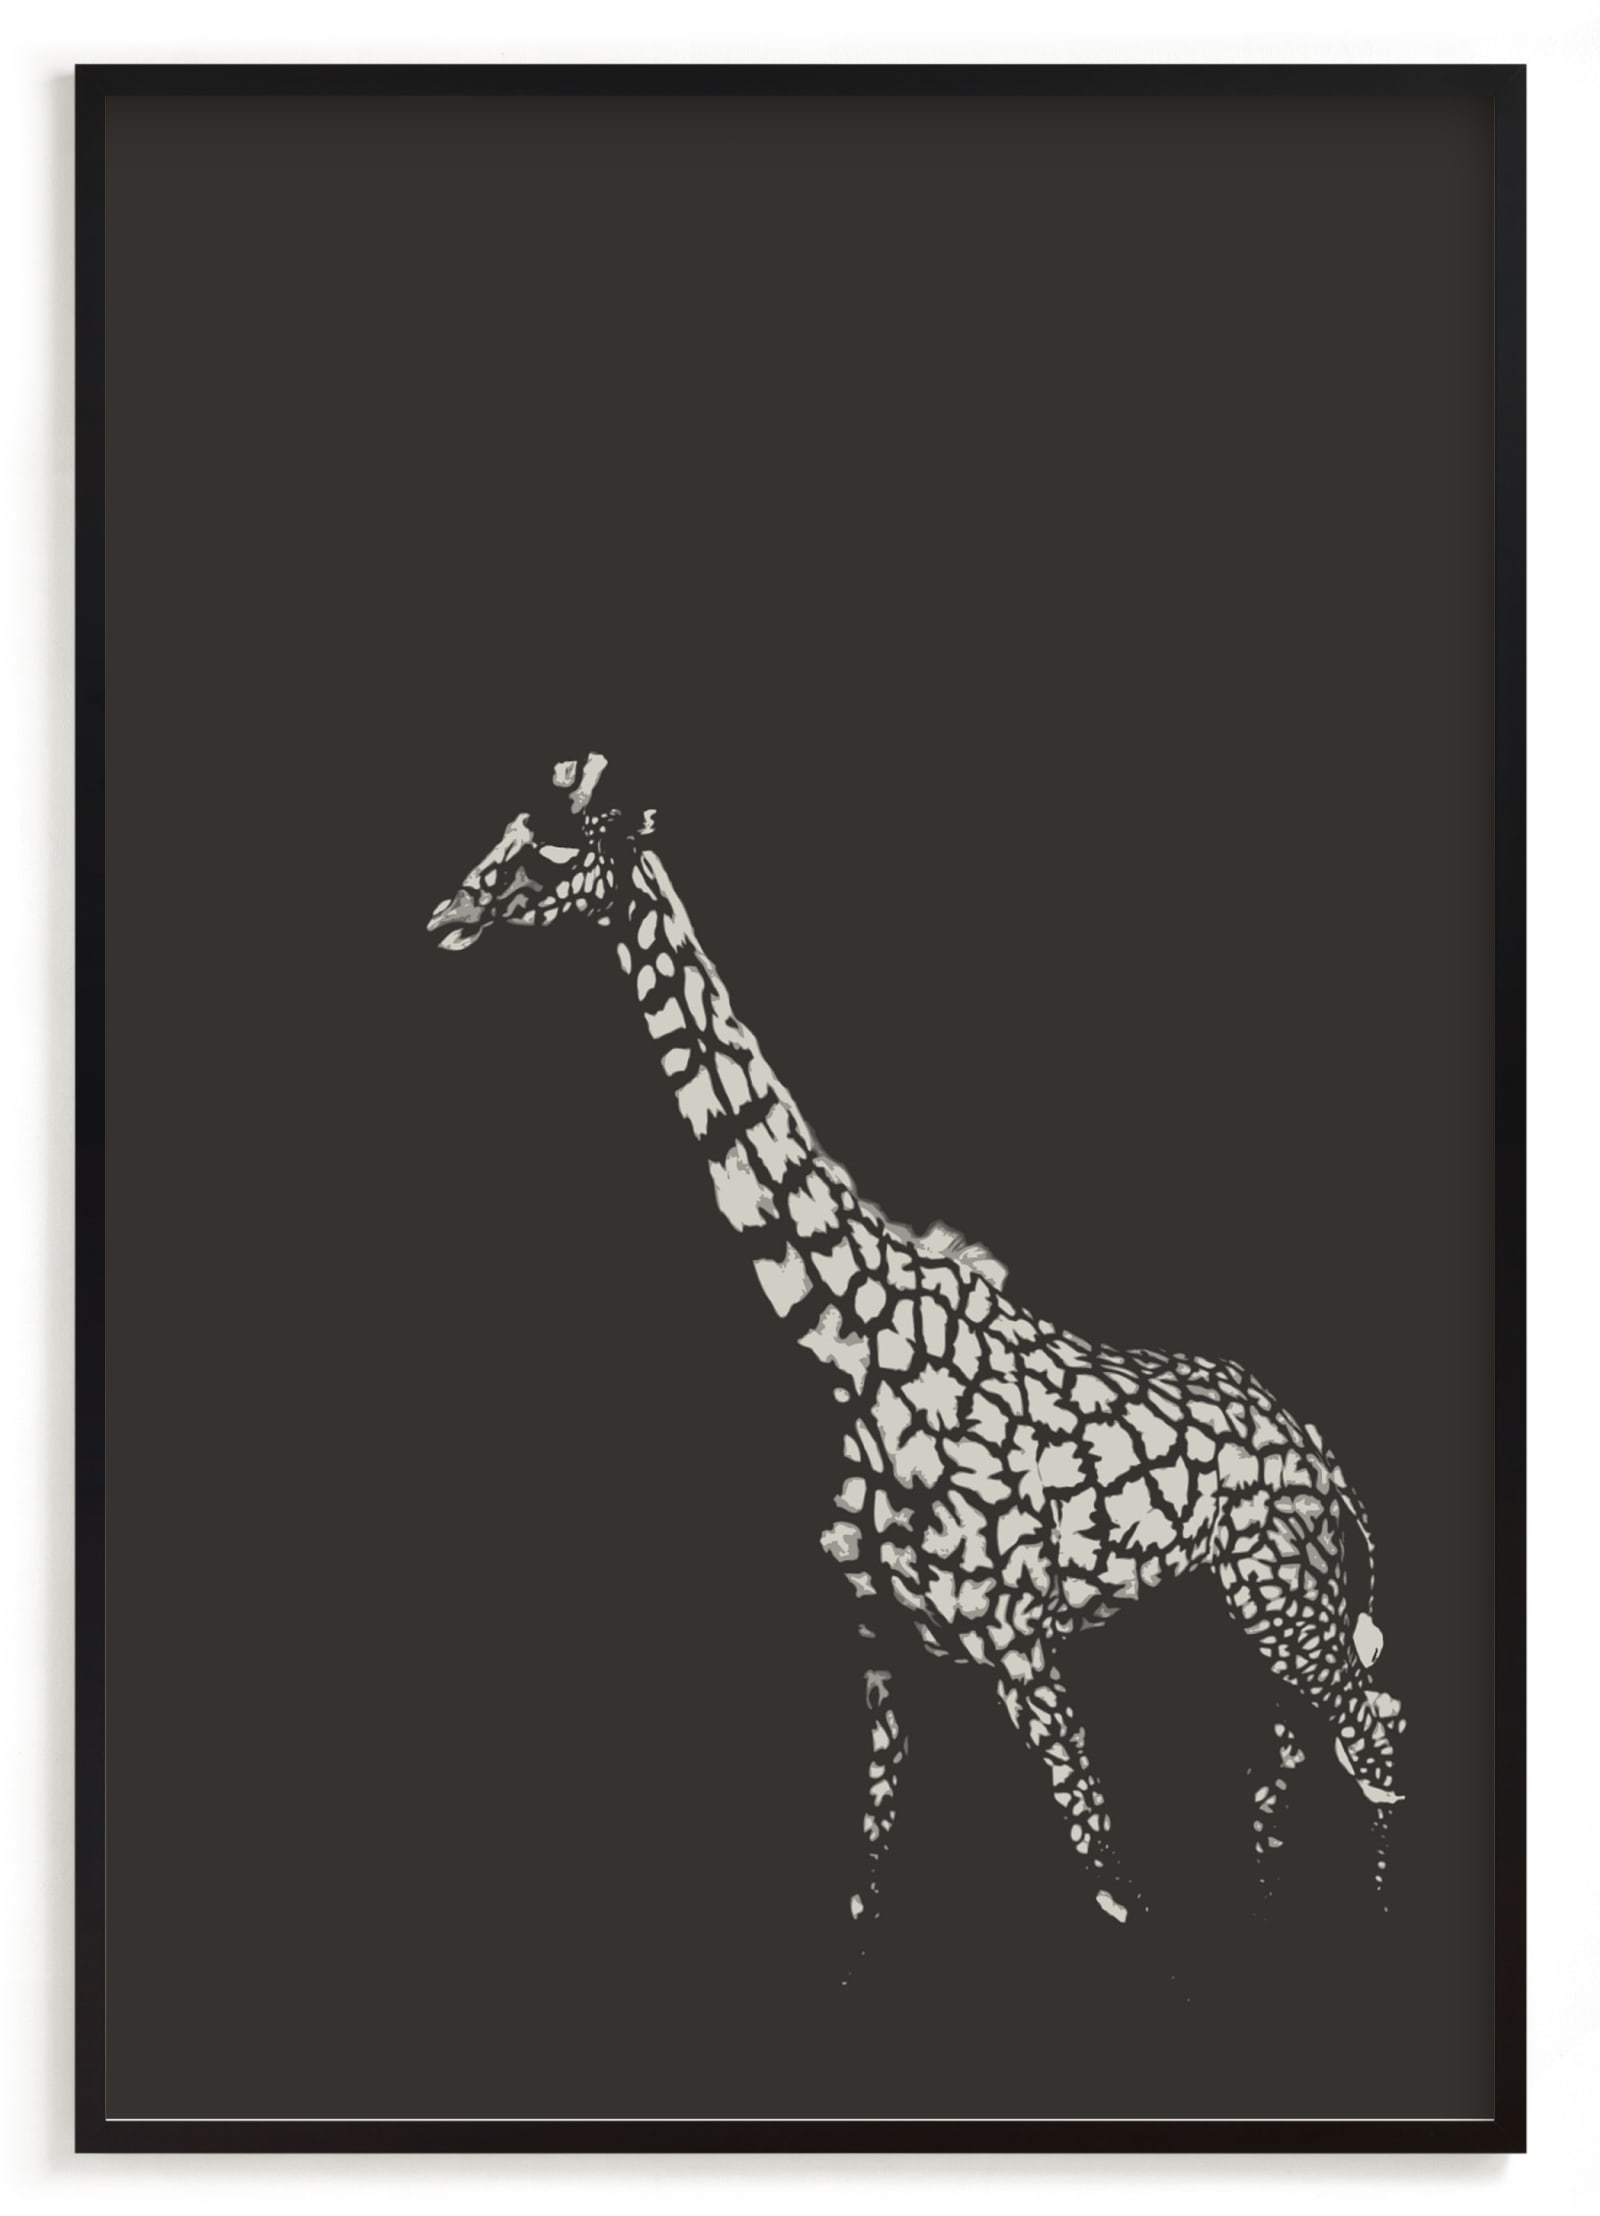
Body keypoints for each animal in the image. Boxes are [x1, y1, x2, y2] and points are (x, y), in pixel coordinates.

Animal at [427, 754, 1406, 1954]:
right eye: (504, 829)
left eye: (556, 851)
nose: (445, 916)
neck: (851, 1347)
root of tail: (1327, 1456)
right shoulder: (883, 1655)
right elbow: (868, 1881)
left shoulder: (1021, 1643)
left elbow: (1110, 1877)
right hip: (1241, 1614)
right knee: (1292, 1767)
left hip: (1286, 1599)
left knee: (1373, 1746)